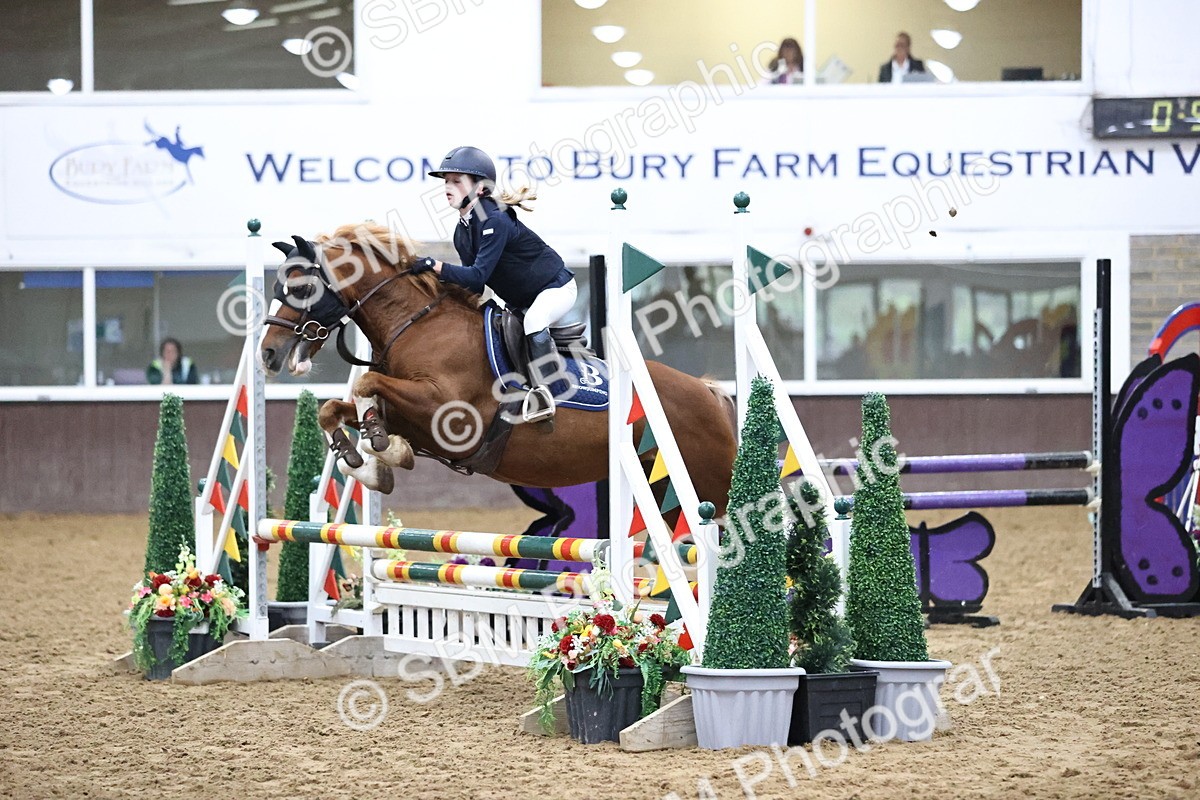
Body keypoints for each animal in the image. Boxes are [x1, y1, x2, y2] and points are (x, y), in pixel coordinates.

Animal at [258, 223, 737, 515]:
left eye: (301, 288)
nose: (267, 354)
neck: (417, 324)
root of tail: (707, 392)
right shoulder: (413, 417)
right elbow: (335, 410)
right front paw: (368, 460)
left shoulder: (446, 411)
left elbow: (368, 384)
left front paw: (381, 448)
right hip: (663, 492)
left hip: (711, 485)